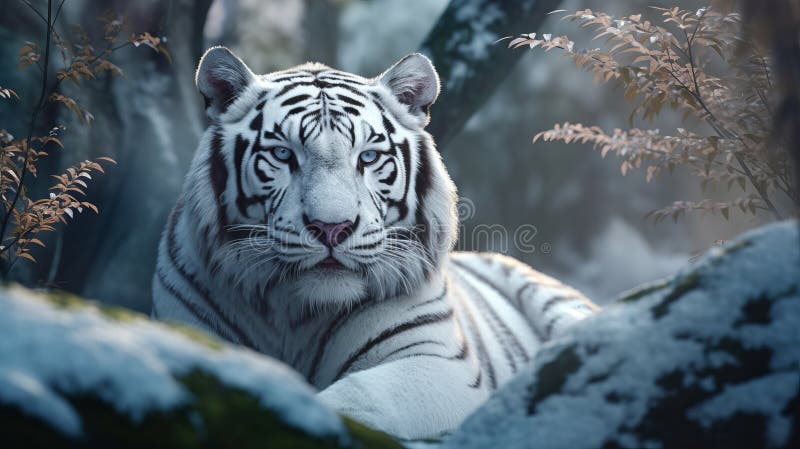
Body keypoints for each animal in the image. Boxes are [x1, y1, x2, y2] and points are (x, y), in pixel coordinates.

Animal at [151, 46, 598, 440]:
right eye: (282, 154)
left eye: (367, 158)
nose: (331, 228)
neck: (297, 313)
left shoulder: (436, 362)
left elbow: (354, 397)